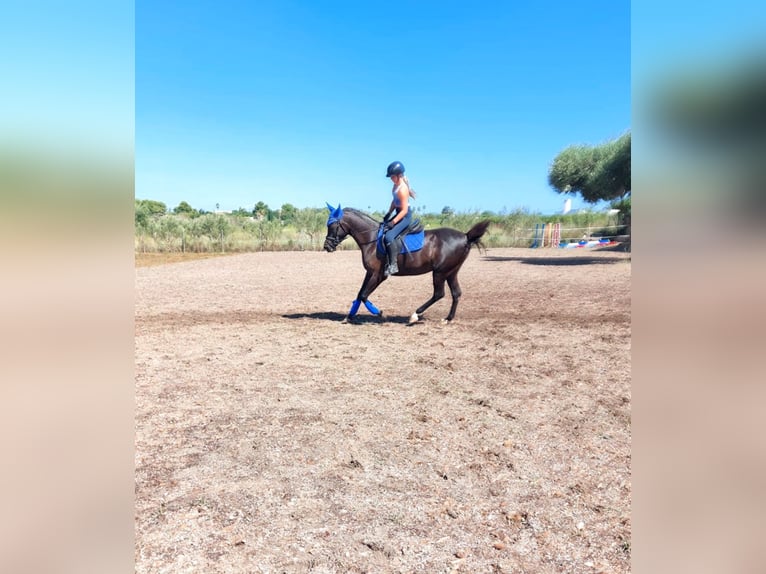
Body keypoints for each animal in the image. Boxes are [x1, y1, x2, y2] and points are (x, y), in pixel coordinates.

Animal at [323, 204, 491, 324]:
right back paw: (447, 319)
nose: (327, 247)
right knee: (456, 293)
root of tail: (465, 236)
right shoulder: (369, 273)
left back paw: (415, 315)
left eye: (332, 225)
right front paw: (349, 317)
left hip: (440, 272)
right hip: (451, 272)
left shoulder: (378, 275)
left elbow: (364, 295)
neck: (371, 239)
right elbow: (359, 294)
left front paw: (381, 314)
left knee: (439, 294)